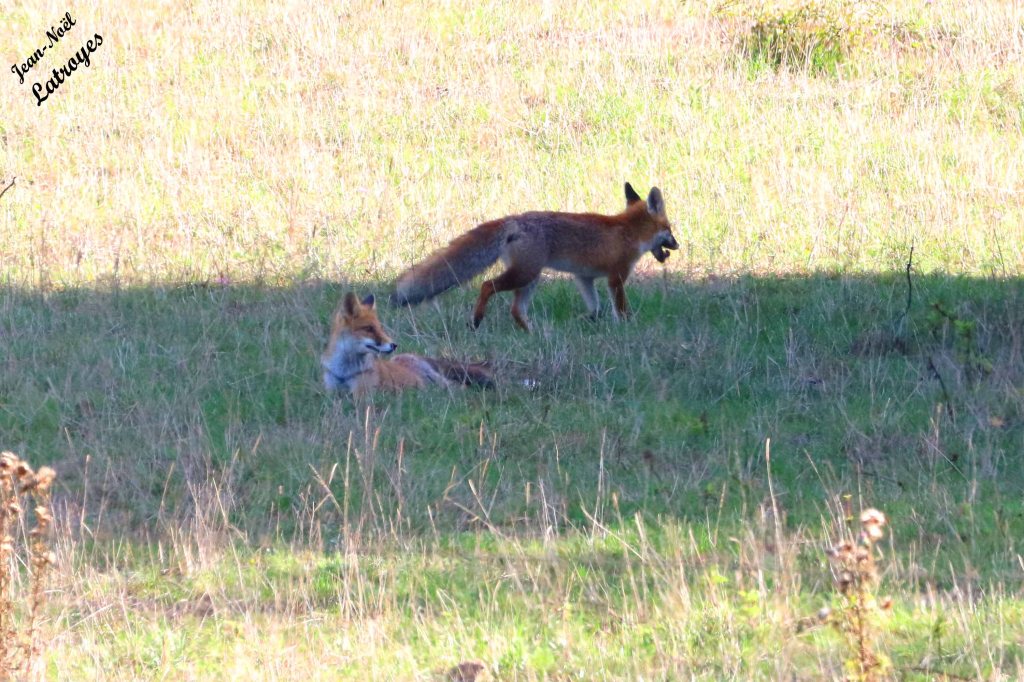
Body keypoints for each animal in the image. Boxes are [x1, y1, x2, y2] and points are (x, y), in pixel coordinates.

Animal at [322, 292, 494, 395]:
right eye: (369, 329)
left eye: (380, 327)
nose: (394, 345)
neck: (344, 372)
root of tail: (417, 357)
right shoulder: (331, 393)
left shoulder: (362, 395)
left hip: (439, 383)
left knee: (459, 387)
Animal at [390, 182, 679, 331]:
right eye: (670, 229)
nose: (677, 245)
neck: (629, 231)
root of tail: (515, 219)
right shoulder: (616, 277)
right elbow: (620, 308)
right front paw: (628, 326)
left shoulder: (583, 277)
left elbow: (595, 307)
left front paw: (588, 320)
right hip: (525, 274)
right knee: (487, 285)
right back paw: (477, 319)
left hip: (530, 279)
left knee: (515, 309)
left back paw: (531, 332)